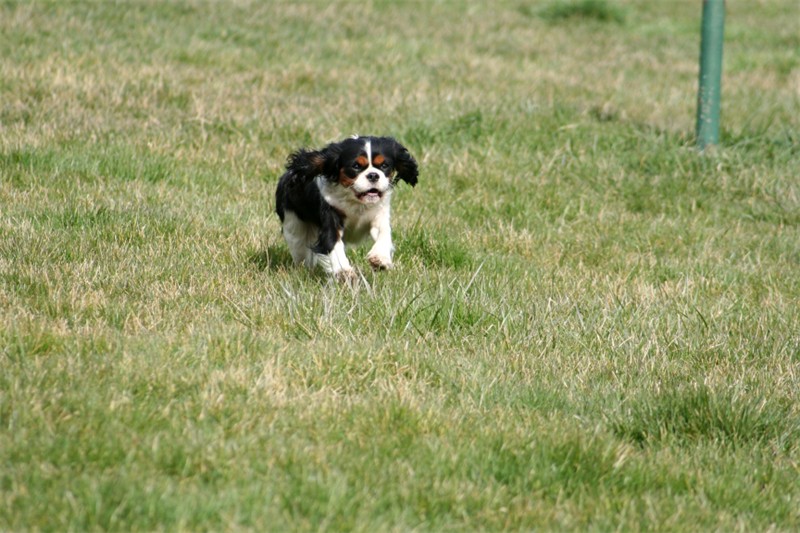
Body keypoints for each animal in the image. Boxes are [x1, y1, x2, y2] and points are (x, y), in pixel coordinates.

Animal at [276, 135, 418, 278]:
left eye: (384, 165)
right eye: (356, 166)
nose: (373, 175)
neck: (356, 201)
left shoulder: (379, 214)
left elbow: (384, 233)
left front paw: (380, 259)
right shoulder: (331, 215)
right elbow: (333, 243)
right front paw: (344, 272)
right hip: (294, 227)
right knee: (301, 251)